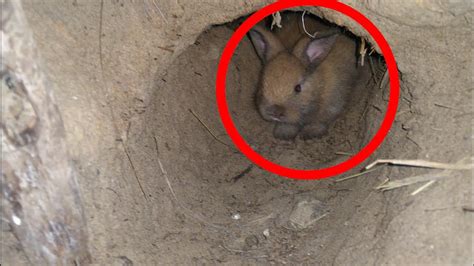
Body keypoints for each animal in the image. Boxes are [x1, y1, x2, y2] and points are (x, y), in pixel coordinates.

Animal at [248, 11, 366, 141]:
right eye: (262, 83)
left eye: (298, 88)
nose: (275, 112)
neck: (318, 87)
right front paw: (284, 133)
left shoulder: (333, 104)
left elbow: (320, 121)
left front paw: (311, 133)